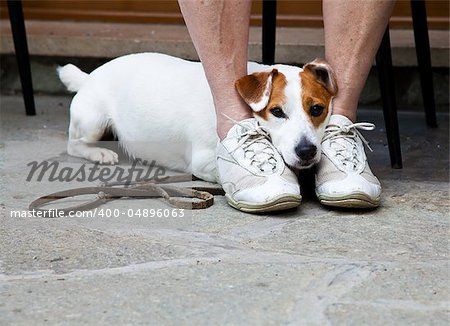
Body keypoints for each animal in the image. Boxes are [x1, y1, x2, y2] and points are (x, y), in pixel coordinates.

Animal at [58, 52, 336, 182]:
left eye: (317, 109)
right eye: (277, 111)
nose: (306, 151)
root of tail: (88, 77)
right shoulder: (203, 162)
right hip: (93, 121)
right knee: (74, 145)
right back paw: (100, 153)